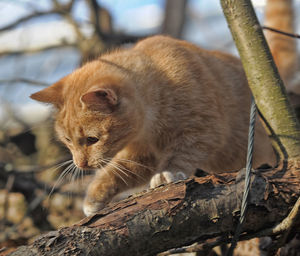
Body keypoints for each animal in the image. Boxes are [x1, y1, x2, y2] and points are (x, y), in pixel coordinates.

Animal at [31, 36, 276, 216]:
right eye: (67, 141)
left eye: (92, 140)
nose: (80, 164)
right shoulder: (143, 154)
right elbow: (116, 171)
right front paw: (94, 197)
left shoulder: (204, 130)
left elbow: (181, 154)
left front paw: (168, 173)